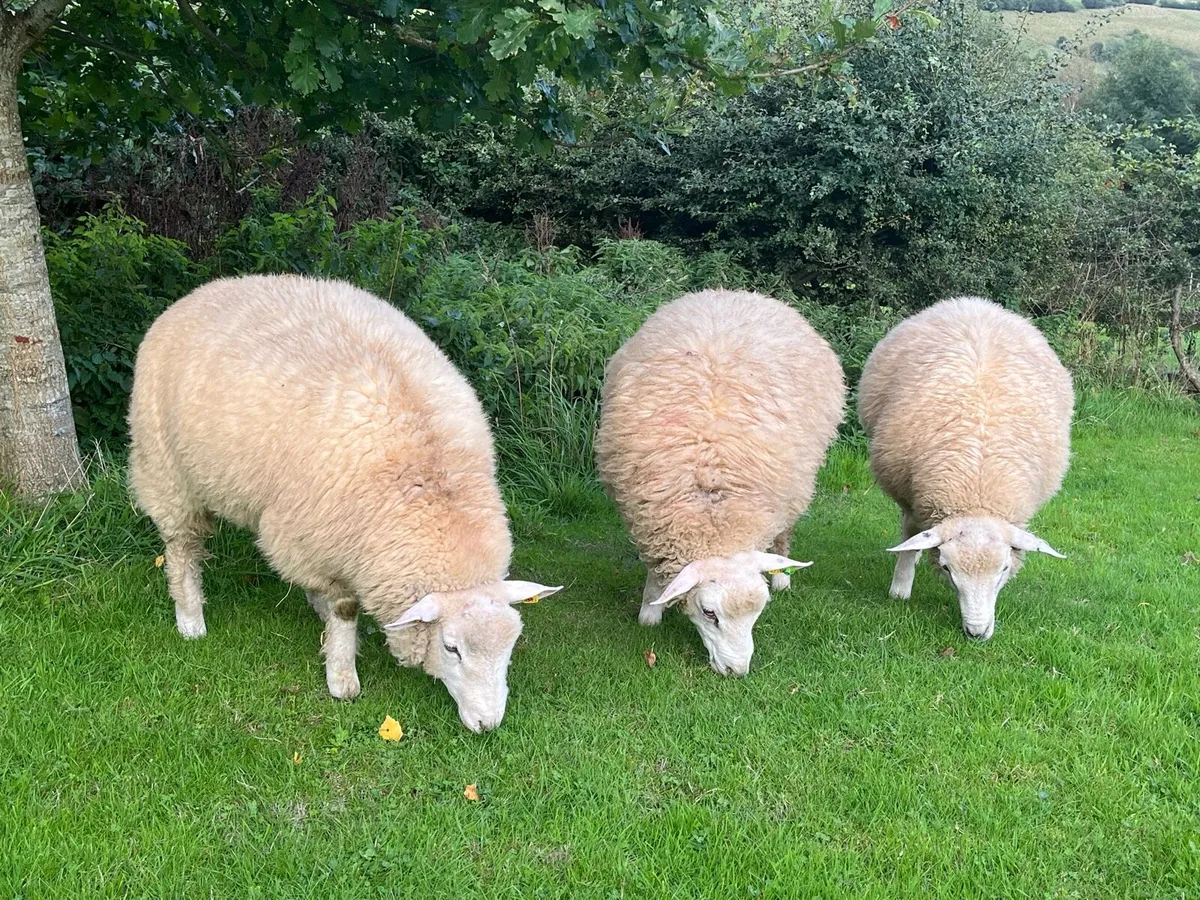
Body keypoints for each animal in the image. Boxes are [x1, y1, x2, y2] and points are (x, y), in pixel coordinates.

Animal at [127, 274, 560, 733]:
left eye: (511, 646)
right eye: (451, 648)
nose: (487, 724)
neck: (431, 485)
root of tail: (208, 289)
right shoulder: (318, 533)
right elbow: (345, 608)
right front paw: (342, 676)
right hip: (167, 470)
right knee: (181, 548)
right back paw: (190, 618)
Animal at [595, 289, 846, 675]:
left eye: (758, 612)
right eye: (709, 613)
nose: (737, 671)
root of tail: (737, 294)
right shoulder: (648, 512)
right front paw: (651, 609)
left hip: (800, 481)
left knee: (786, 531)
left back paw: (783, 573)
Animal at [857, 295, 1073, 640]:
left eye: (1004, 569)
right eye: (947, 568)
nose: (976, 633)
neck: (977, 490)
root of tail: (973, 304)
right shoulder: (911, 496)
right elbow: (910, 533)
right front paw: (901, 587)